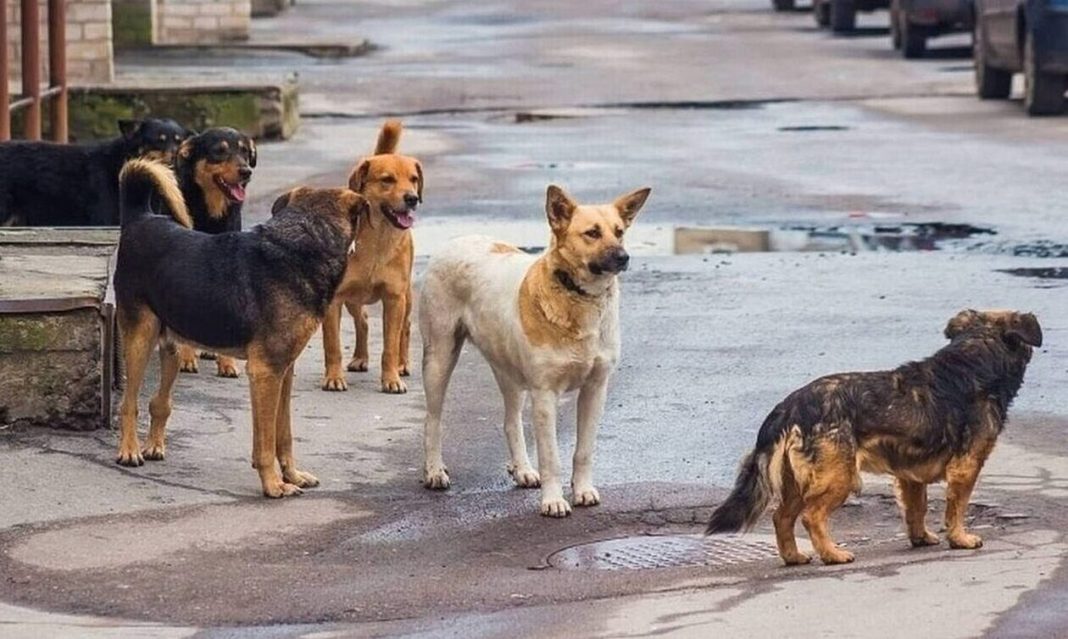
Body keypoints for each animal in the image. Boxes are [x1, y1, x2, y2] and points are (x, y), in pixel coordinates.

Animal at [110, 160, 365, 500]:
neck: (303, 242)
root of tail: (141, 218)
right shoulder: (265, 373)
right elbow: (265, 442)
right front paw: (273, 484)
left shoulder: (284, 371)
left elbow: (283, 435)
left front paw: (293, 476)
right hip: (140, 338)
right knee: (129, 404)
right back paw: (129, 450)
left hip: (172, 346)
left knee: (159, 402)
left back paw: (153, 445)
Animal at [318, 117, 418, 393]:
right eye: (387, 179)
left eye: (414, 179)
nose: (413, 198)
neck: (378, 240)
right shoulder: (334, 300)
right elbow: (332, 345)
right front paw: (334, 377)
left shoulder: (394, 299)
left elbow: (390, 346)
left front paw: (391, 378)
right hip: (352, 298)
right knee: (361, 320)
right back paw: (360, 358)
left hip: (406, 296)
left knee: (405, 328)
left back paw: (403, 364)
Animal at [416, 182, 649, 519]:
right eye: (592, 233)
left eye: (619, 232)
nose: (623, 257)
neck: (578, 297)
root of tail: (456, 240)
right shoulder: (545, 395)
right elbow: (551, 457)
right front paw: (553, 500)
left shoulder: (595, 389)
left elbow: (584, 450)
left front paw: (582, 490)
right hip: (439, 359)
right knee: (432, 420)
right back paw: (434, 471)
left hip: (508, 371)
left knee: (511, 421)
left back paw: (523, 469)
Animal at [709, 312, 1042, 568]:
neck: (974, 357)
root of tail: (789, 406)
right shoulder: (966, 467)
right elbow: (956, 507)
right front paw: (960, 538)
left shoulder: (910, 476)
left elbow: (916, 509)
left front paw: (920, 538)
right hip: (840, 477)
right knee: (811, 517)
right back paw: (832, 554)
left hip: (797, 482)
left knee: (781, 517)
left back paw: (794, 557)